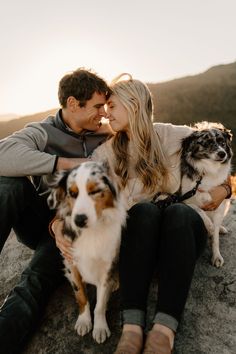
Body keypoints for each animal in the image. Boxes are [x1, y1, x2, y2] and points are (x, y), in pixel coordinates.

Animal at [46, 161, 126, 342]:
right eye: (72, 193)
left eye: (95, 191)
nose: (79, 220)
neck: (92, 232)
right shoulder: (71, 264)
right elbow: (81, 296)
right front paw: (84, 321)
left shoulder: (107, 267)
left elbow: (100, 304)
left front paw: (100, 327)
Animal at [181, 123, 232, 266]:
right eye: (208, 143)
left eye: (222, 142)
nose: (222, 153)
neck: (210, 169)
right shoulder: (184, 199)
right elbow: (198, 210)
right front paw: (209, 225)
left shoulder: (219, 206)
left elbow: (215, 239)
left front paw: (216, 256)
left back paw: (221, 228)